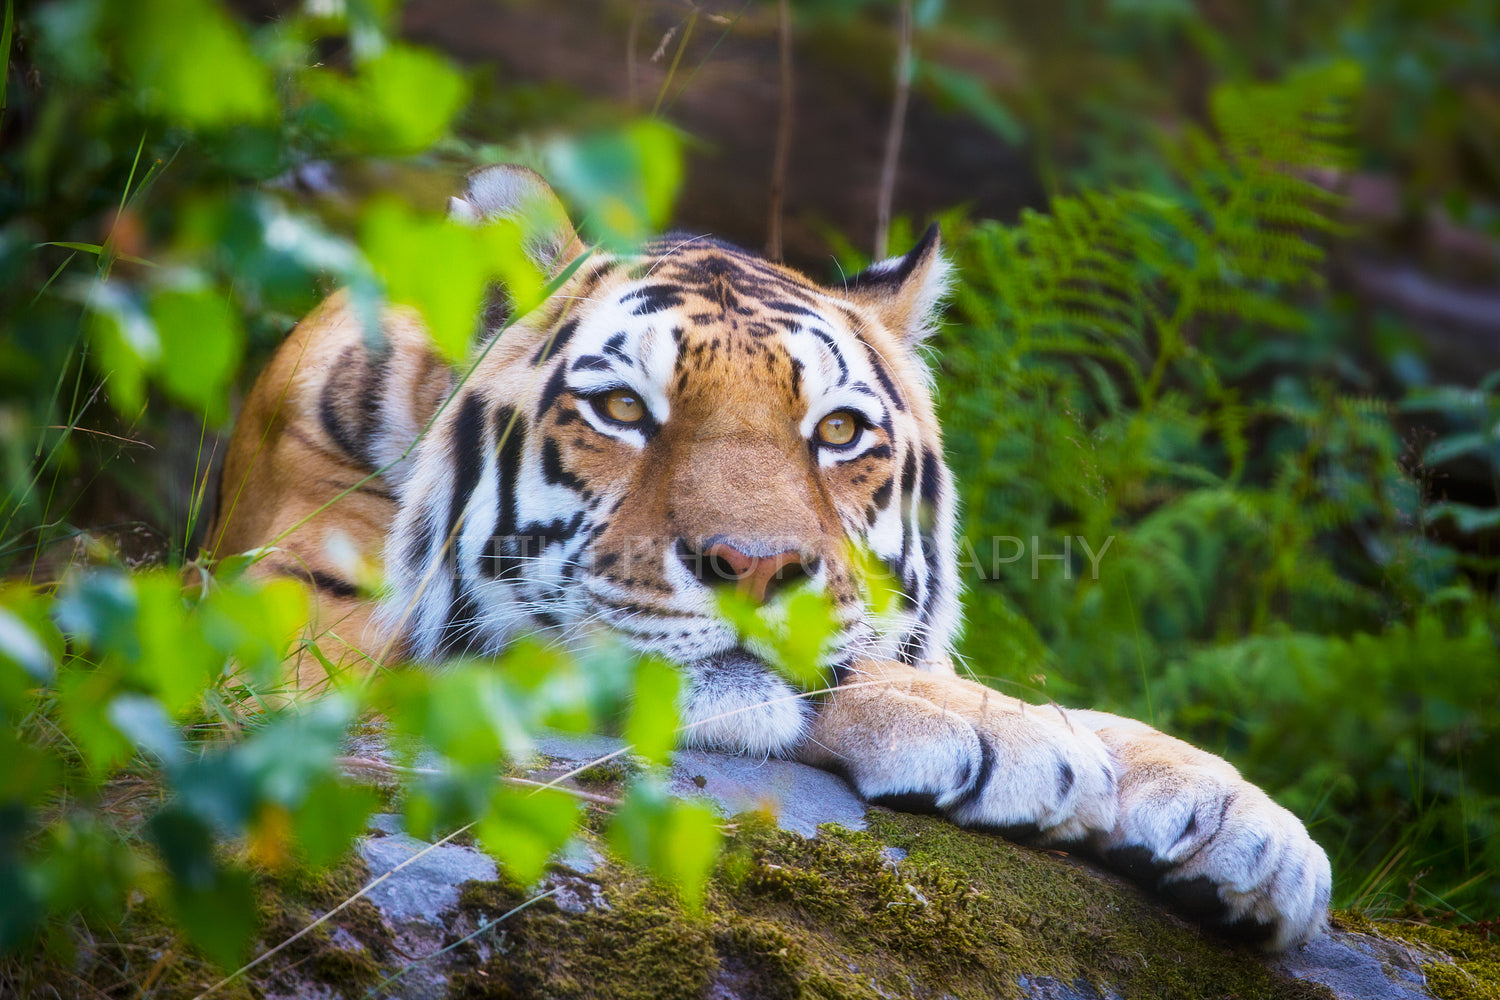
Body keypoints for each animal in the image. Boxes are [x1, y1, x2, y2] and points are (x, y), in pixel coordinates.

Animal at [205, 162, 1332, 947]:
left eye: (837, 432)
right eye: (623, 410)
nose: (754, 567)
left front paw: (1243, 819)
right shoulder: (296, 641)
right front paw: (996, 731)